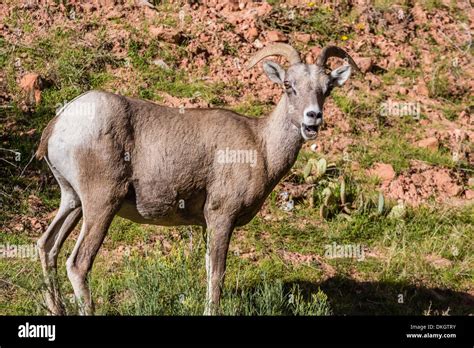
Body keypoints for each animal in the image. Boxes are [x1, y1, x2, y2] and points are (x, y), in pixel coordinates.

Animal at [35, 43, 358, 316]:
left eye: (326, 89)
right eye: (289, 86)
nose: (312, 118)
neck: (261, 147)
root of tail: (60, 123)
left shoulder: (206, 224)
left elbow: (207, 269)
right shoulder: (221, 217)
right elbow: (217, 274)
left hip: (72, 202)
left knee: (47, 246)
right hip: (101, 204)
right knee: (78, 264)